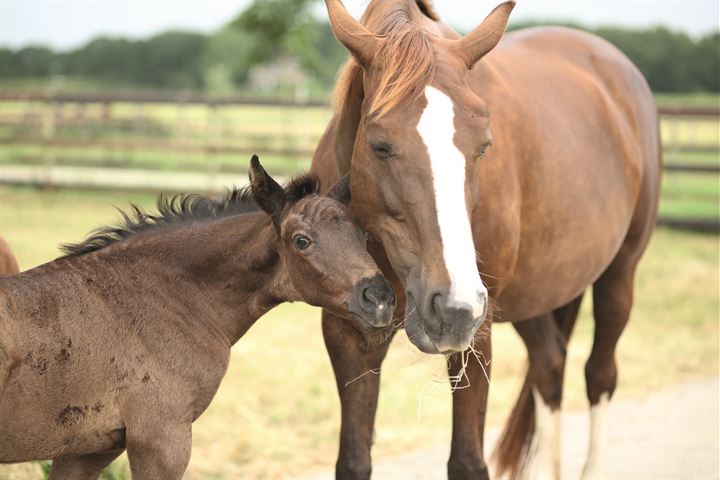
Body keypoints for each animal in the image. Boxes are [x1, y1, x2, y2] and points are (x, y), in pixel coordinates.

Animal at [0, 158, 394, 480]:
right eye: (302, 241)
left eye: (363, 235)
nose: (380, 299)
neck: (157, 295)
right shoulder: (162, 440)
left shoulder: (87, 451)